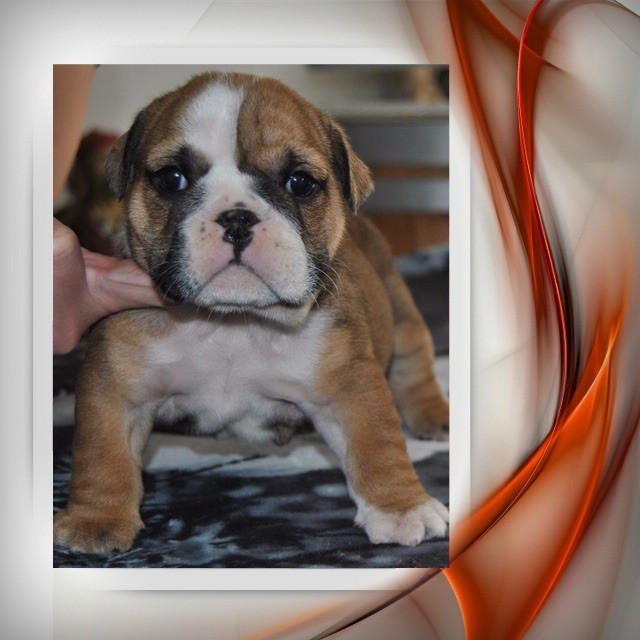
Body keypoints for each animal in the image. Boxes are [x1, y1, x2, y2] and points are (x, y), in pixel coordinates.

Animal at [53, 72, 450, 554]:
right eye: (172, 178)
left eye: (300, 182)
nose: (238, 218)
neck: (233, 321)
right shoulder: (114, 387)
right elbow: (101, 451)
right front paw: (95, 520)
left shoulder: (350, 385)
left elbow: (377, 442)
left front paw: (401, 509)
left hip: (399, 306)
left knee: (413, 362)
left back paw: (434, 415)